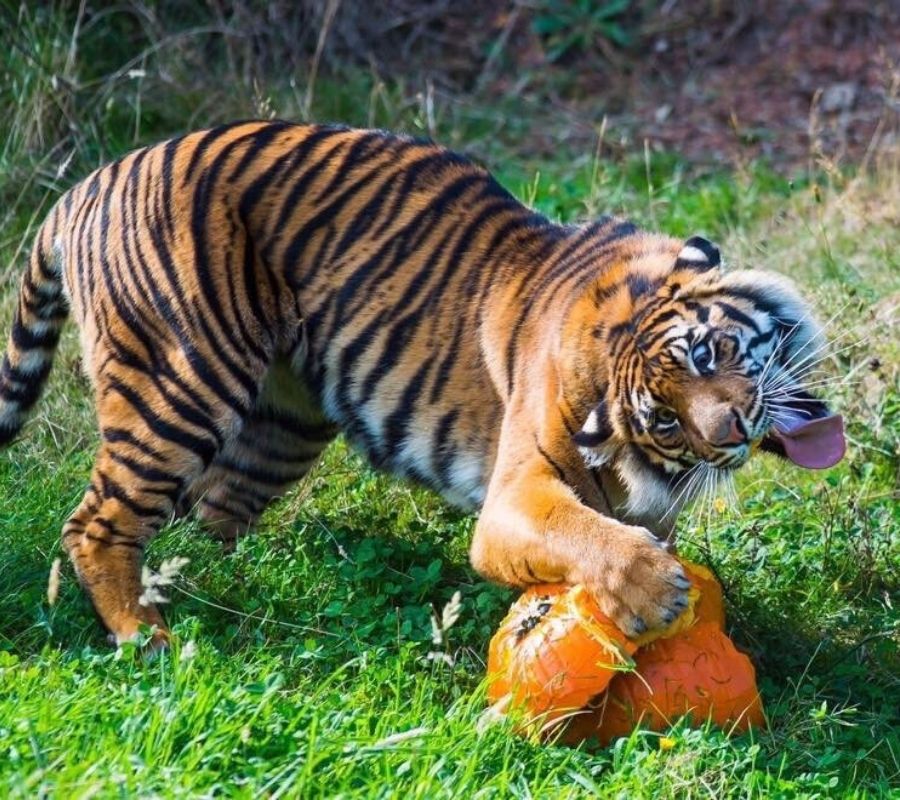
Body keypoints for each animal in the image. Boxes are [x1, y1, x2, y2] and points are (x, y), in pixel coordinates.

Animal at [0, 121, 845, 648]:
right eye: (664, 420)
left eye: (707, 354)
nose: (730, 428)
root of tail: (84, 188)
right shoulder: (512, 500)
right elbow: (585, 536)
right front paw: (652, 591)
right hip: (180, 384)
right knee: (97, 522)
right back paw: (150, 640)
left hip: (284, 424)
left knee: (209, 513)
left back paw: (237, 584)